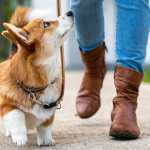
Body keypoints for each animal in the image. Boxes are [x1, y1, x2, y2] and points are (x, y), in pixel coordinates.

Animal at [0, 6, 74, 146]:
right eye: (46, 24)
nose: (70, 12)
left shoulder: (50, 108)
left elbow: (45, 126)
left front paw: (45, 139)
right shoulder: (6, 105)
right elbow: (17, 114)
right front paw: (20, 137)